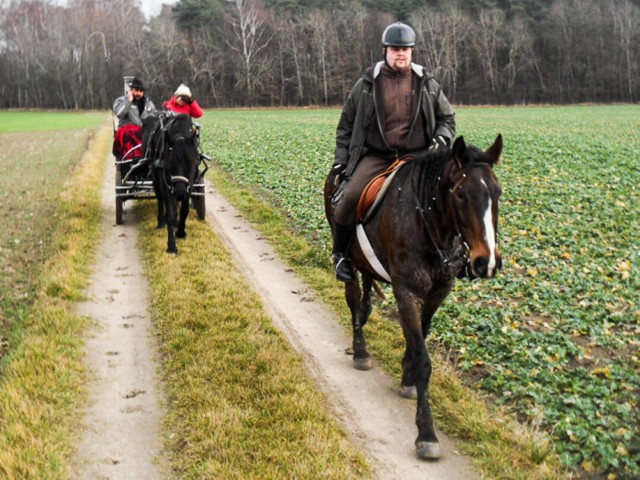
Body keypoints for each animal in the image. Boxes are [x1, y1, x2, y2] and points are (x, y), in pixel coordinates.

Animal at [143, 114, 199, 253]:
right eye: (169, 163)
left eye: (192, 162)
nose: (179, 191)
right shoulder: (167, 186)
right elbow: (171, 215)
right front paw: (171, 245)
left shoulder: (189, 185)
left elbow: (184, 210)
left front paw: (181, 232)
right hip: (156, 181)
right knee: (160, 200)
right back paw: (161, 222)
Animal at [324, 133, 504, 460]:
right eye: (460, 193)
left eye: (497, 192)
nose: (487, 262)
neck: (429, 222)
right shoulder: (406, 290)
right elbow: (423, 358)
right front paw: (427, 433)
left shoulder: (437, 292)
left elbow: (418, 335)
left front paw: (407, 378)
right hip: (350, 260)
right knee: (354, 302)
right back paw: (360, 352)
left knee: (365, 302)